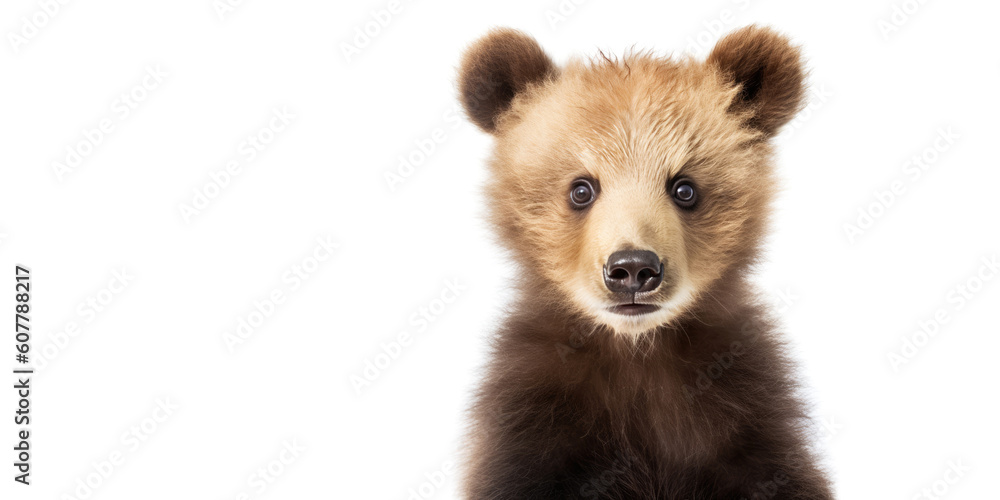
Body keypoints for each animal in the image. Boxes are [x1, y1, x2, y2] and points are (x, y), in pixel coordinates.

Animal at [456, 26, 833, 499]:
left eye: (685, 188)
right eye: (581, 189)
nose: (633, 269)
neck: (637, 352)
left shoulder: (743, 414)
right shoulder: (532, 421)